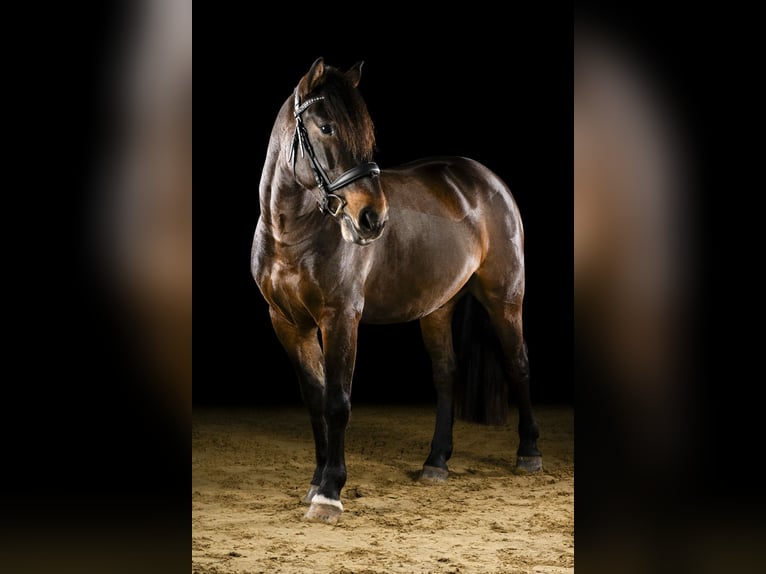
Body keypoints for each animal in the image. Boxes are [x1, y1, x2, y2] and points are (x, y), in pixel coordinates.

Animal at [251, 58, 541, 524]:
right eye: (326, 127)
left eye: (366, 132)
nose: (372, 218)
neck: (292, 236)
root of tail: (485, 178)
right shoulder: (288, 323)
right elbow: (315, 401)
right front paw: (315, 483)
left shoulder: (341, 318)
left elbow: (337, 402)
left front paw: (330, 493)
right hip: (437, 308)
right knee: (446, 374)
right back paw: (436, 462)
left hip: (505, 299)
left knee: (518, 364)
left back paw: (529, 453)